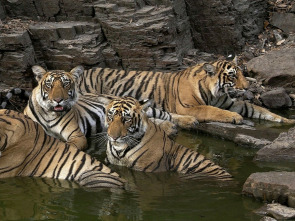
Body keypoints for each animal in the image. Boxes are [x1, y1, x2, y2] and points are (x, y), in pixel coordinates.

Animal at [22, 64, 200, 149]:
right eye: (49, 85)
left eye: (66, 84)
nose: (58, 100)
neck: (49, 113)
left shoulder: (76, 135)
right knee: (153, 121)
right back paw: (170, 128)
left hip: (146, 108)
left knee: (166, 114)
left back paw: (190, 121)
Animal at [70, 58, 294, 124]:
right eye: (232, 76)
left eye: (242, 73)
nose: (247, 87)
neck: (216, 92)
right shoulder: (188, 106)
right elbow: (212, 110)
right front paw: (234, 118)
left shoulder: (231, 101)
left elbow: (257, 109)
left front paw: (285, 120)